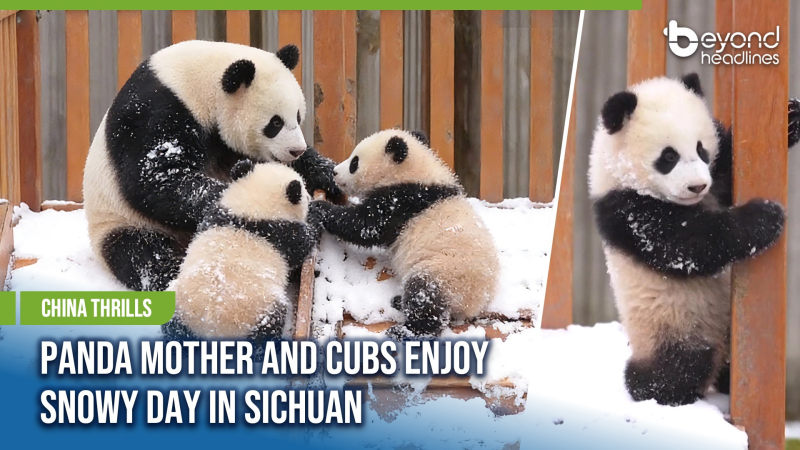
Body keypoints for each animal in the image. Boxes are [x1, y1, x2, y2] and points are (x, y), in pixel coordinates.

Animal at [83, 40, 340, 292]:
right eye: (275, 123)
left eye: (297, 116)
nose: (296, 149)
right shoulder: (154, 111)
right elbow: (156, 178)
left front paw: (329, 174)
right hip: (119, 220)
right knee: (141, 254)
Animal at [166, 160, 323, 340]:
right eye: (304, 192)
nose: (310, 196)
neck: (251, 210)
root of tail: (209, 329)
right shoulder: (282, 234)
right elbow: (305, 239)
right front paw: (316, 214)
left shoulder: (216, 214)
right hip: (259, 311)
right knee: (270, 324)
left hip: (176, 305)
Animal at [315, 129, 500, 338]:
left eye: (354, 162)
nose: (335, 172)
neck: (414, 173)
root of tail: (474, 304)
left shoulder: (402, 201)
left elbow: (366, 226)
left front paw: (321, 208)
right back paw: (399, 301)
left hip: (444, 273)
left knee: (424, 297)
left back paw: (406, 331)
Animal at [589, 73, 795, 406]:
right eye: (668, 156)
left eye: (701, 150)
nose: (697, 186)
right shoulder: (628, 211)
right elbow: (690, 246)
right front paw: (765, 216)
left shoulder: (715, 181)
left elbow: (726, 174)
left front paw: (790, 118)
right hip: (671, 326)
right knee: (679, 365)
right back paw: (660, 390)